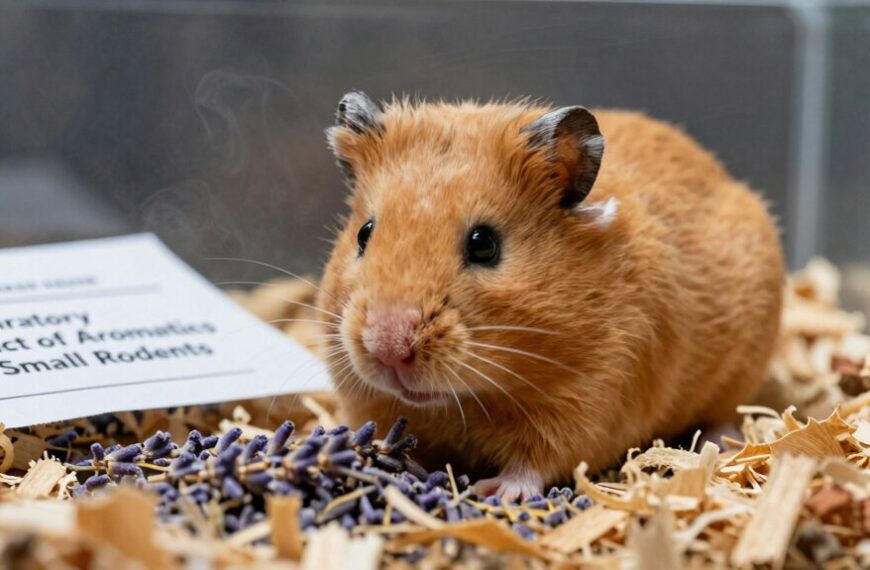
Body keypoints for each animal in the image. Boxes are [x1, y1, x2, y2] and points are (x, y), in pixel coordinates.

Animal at [316, 92, 784, 501]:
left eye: (484, 244)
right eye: (364, 234)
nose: (387, 348)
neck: (466, 400)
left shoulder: (589, 401)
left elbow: (537, 460)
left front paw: (496, 491)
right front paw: (375, 458)